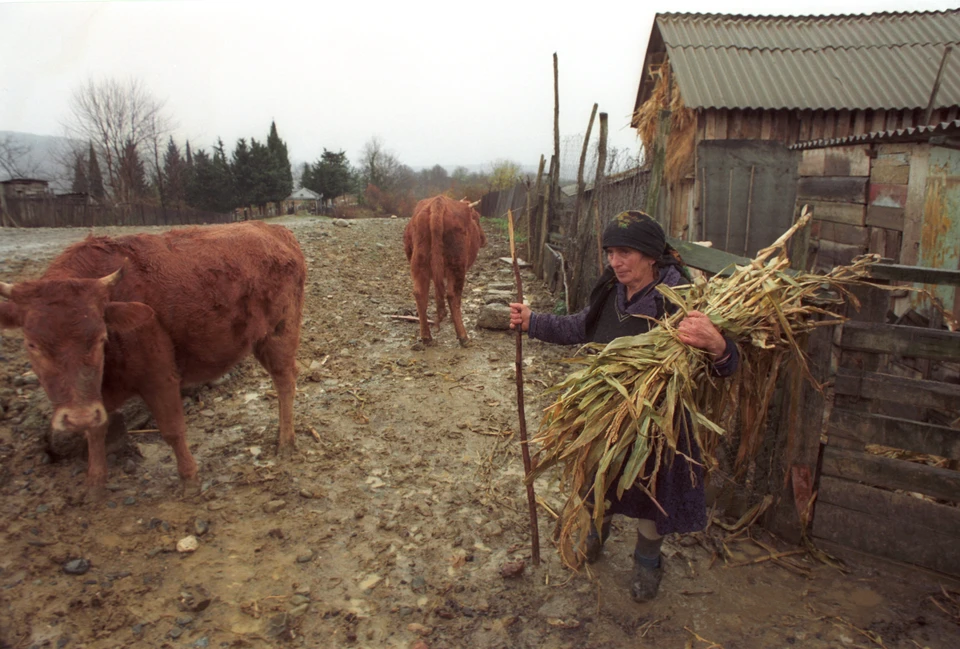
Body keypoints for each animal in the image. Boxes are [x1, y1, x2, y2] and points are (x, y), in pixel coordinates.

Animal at [0, 221, 306, 496]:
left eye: (100, 337)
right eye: (32, 344)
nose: (77, 417)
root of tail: (276, 231)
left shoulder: (159, 378)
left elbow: (172, 429)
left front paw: (189, 479)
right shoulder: (98, 395)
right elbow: (95, 431)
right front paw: (94, 483)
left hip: (278, 335)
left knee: (285, 380)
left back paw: (286, 442)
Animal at [402, 196, 484, 350]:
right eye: (477, 218)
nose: (483, 239)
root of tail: (438, 202)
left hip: (419, 263)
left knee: (420, 294)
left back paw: (426, 337)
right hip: (457, 266)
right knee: (453, 295)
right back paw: (463, 337)